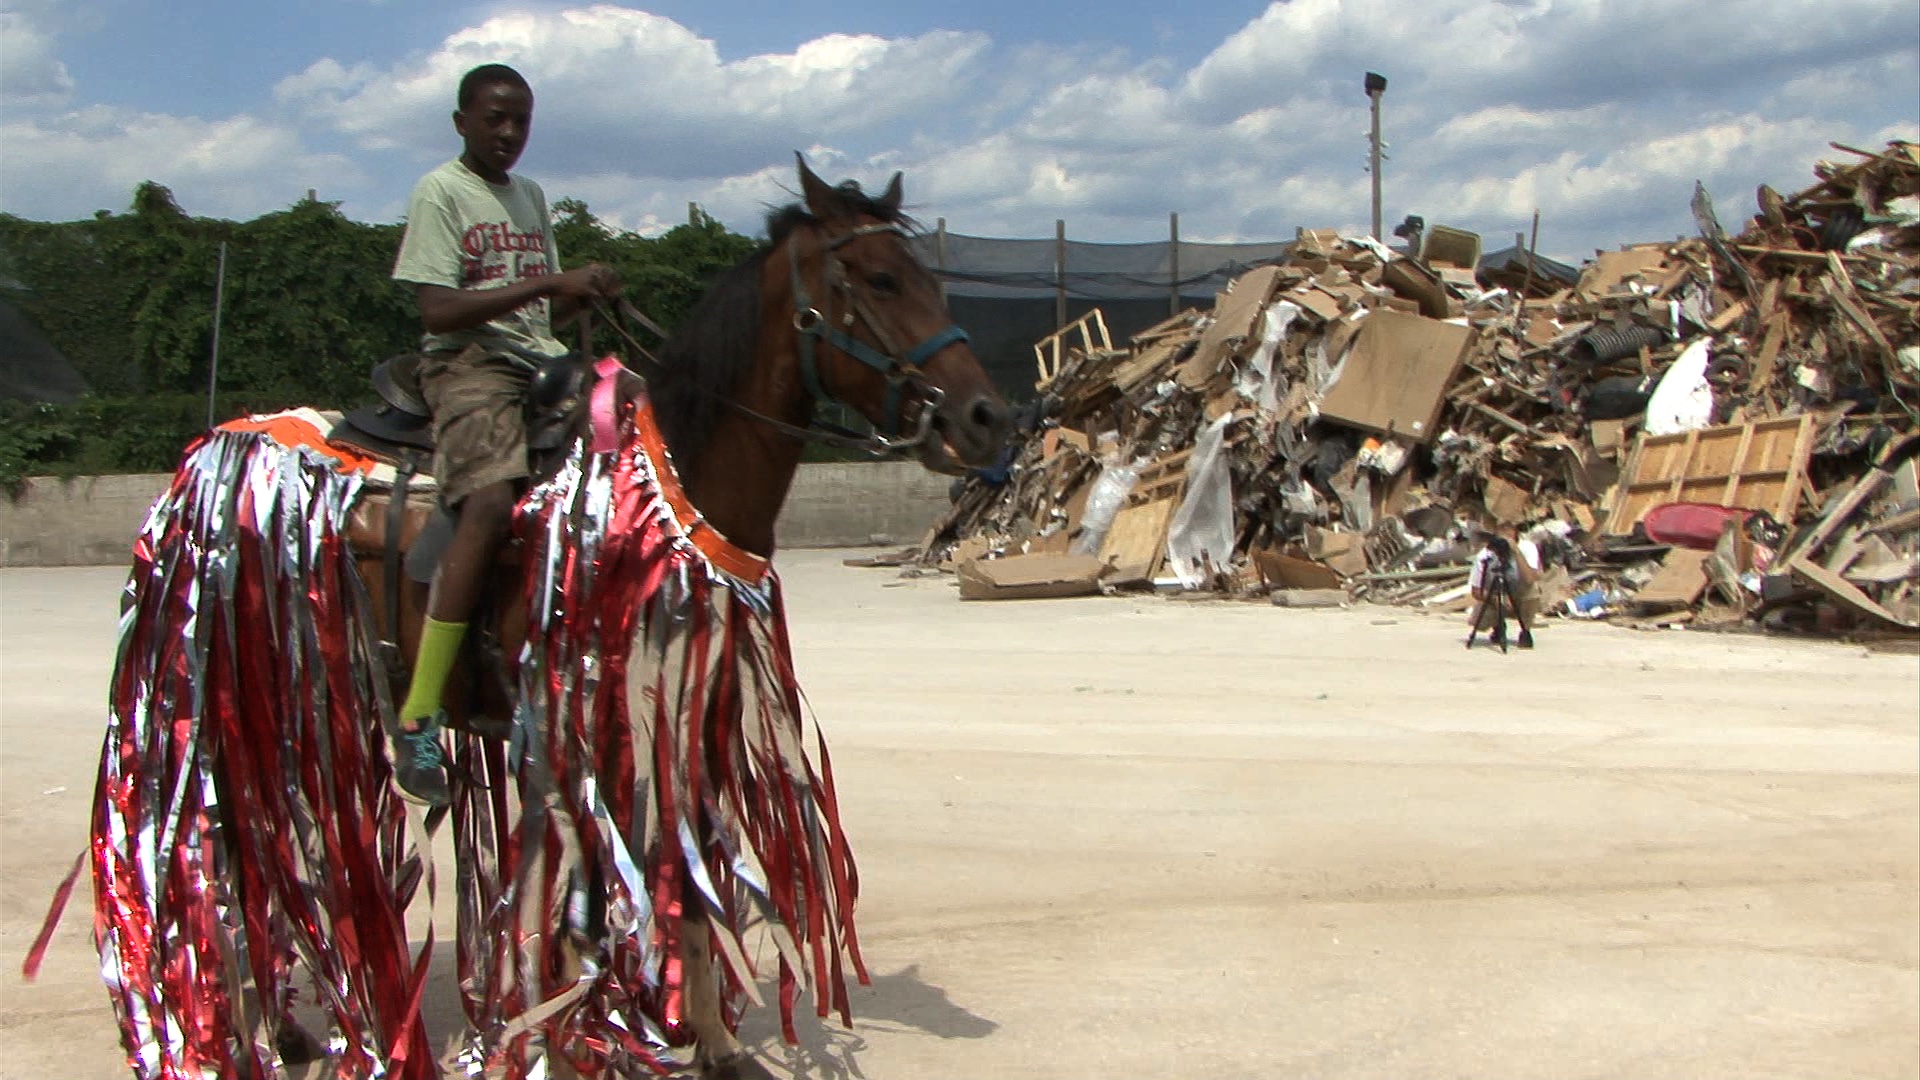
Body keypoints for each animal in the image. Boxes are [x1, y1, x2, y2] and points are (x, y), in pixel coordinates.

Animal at [93, 151, 1006, 1076]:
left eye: (932, 277)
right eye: (882, 279)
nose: (988, 417)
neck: (670, 490)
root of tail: (209, 455)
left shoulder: (680, 720)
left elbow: (684, 879)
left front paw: (713, 1042)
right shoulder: (571, 734)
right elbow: (564, 918)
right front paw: (562, 1045)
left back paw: (280, 1025)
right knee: (231, 846)